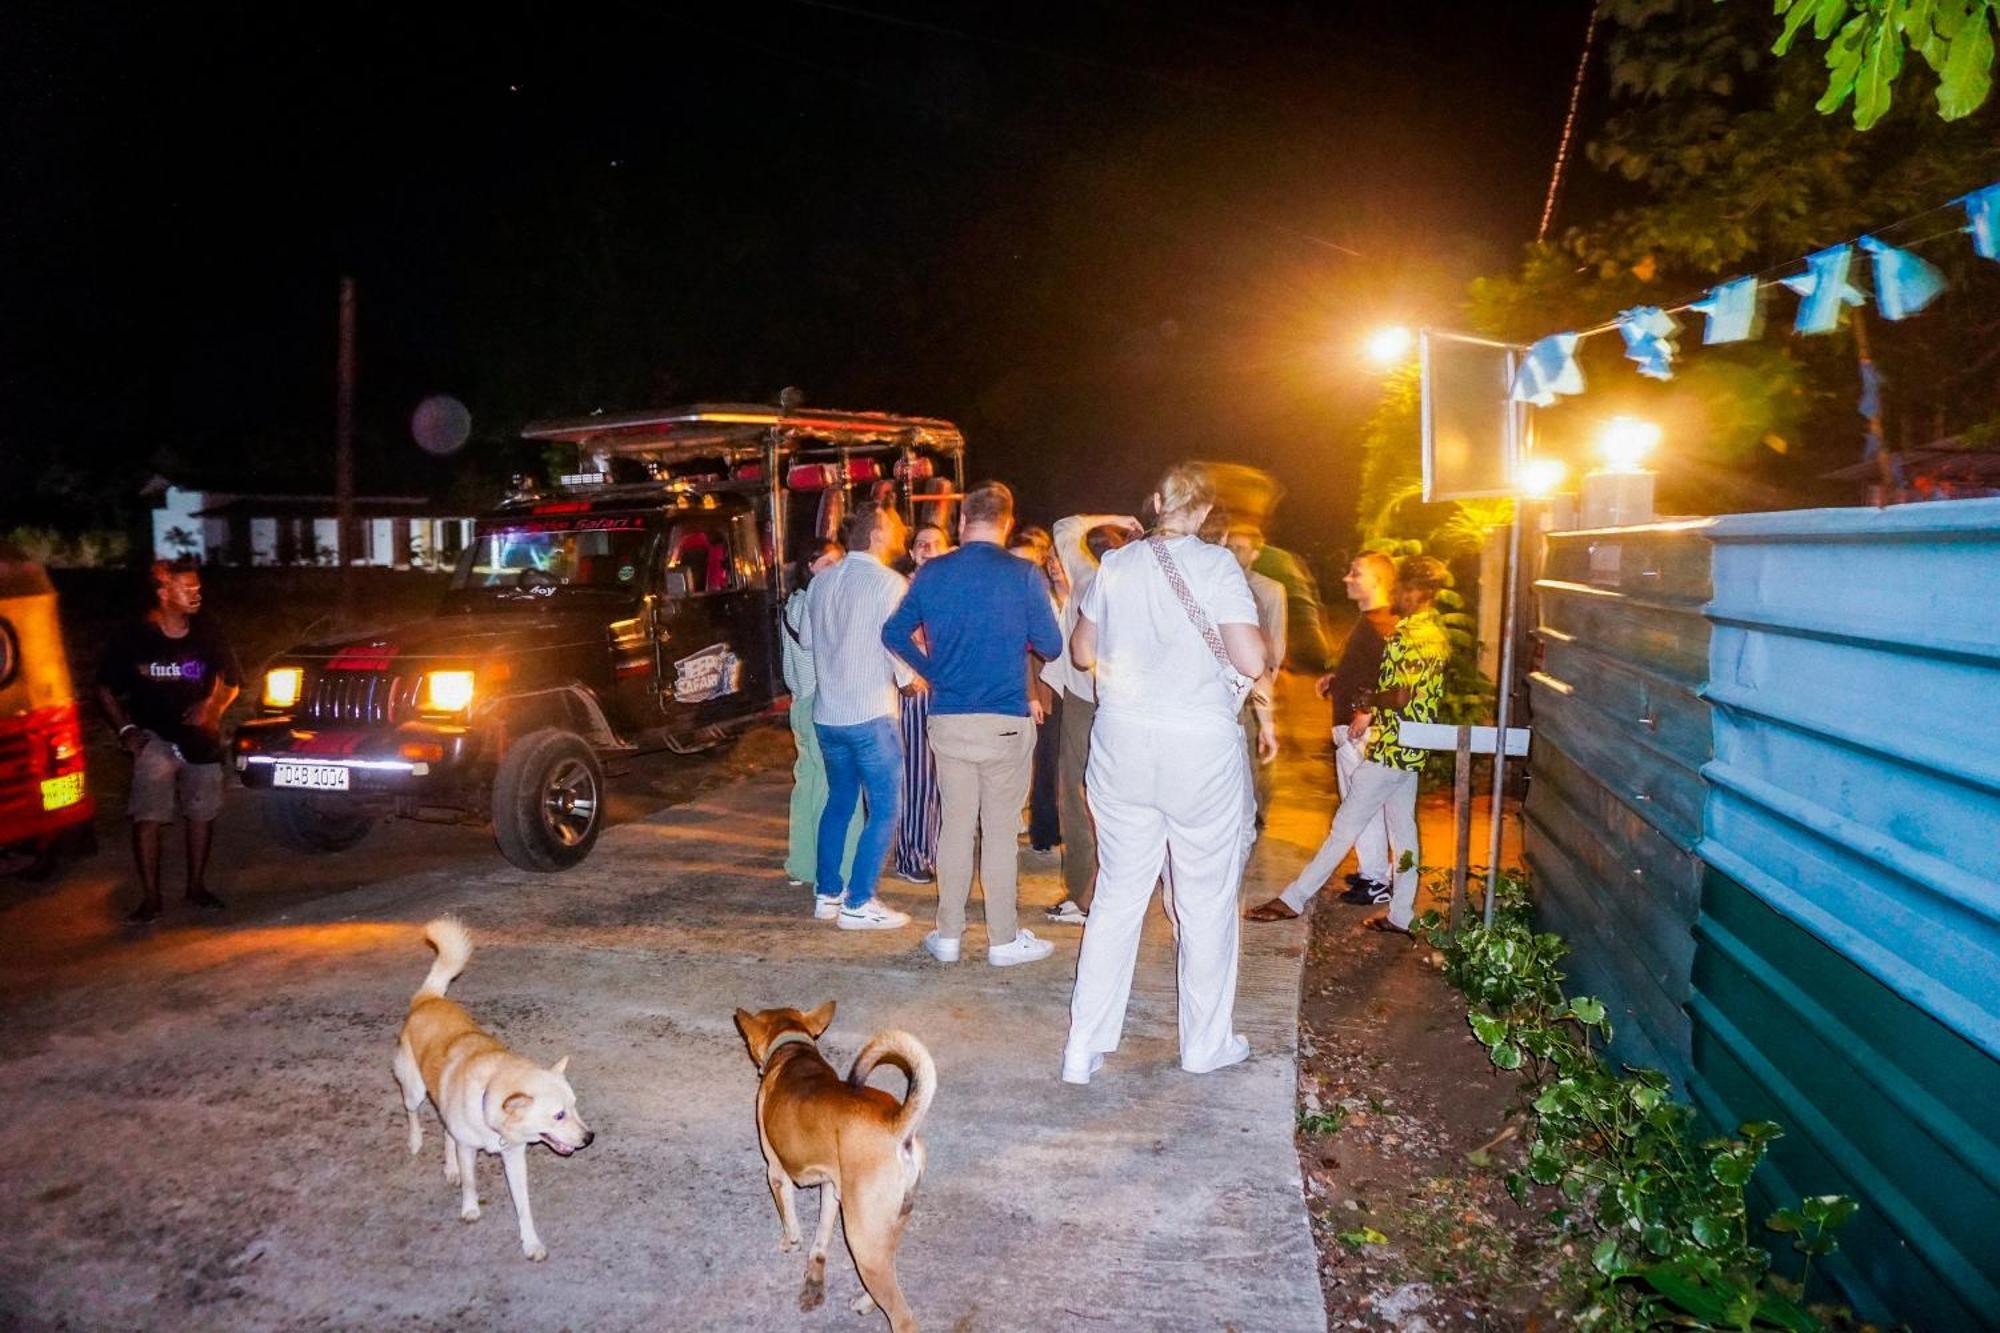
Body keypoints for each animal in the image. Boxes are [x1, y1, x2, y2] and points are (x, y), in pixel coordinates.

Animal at [736, 1000, 936, 1320]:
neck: (793, 1050)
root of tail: (897, 1125)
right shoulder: (832, 1187)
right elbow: (820, 1240)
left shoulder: (776, 1173)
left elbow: (790, 1220)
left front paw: (790, 1242)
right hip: (886, 1228)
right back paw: (866, 1302)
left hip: (861, 1236)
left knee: (902, 1315)